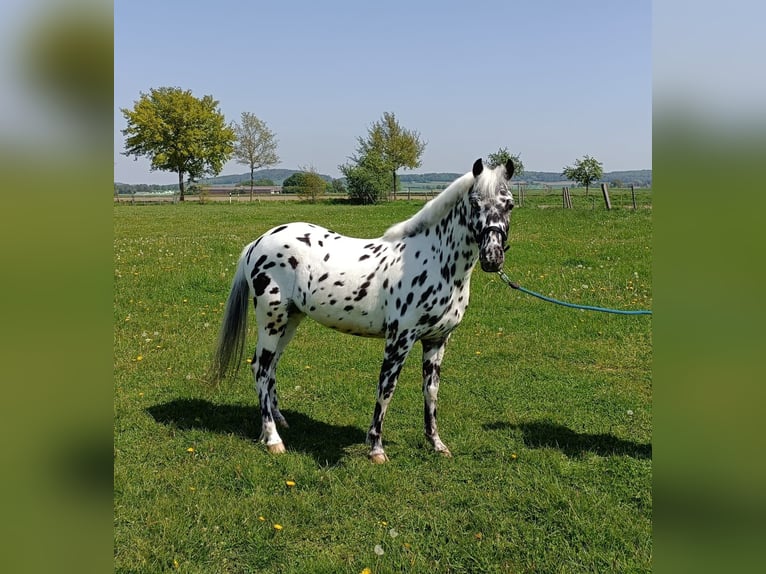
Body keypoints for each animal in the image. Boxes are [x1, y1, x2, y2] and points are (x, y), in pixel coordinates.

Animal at [212, 158, 516, 464]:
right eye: (475, 203)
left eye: (510, 204)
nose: (492, 257)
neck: (434, 261)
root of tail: (257, 243)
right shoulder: (399, 339)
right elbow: (386, 389)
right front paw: (376, 449)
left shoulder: (437, 340)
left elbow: (431, 391)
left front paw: (436, 444)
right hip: (271, 320)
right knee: (260, 369)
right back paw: (273, 439)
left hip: (291, 320)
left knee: (271, 366)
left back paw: (280, 422)